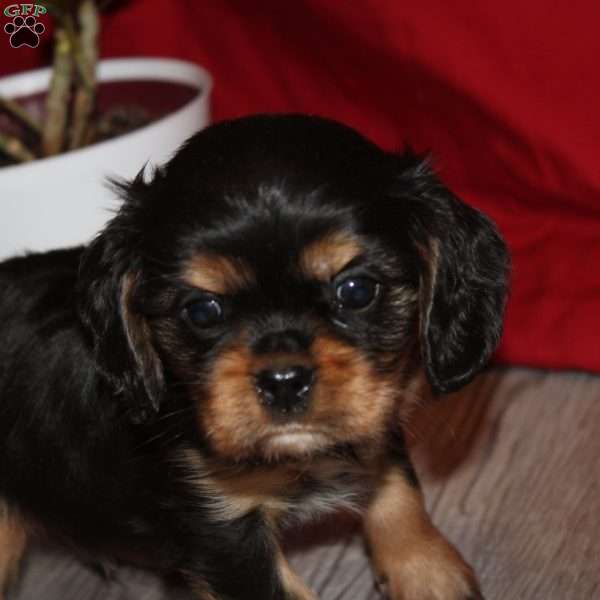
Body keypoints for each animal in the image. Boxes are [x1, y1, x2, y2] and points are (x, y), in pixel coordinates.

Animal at [0, 115, 506, 596]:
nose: (284, 381)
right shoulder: (222, 531)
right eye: (202, 310)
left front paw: (429, 571)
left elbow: (398, 483)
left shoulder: (375, 408)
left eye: (357, 290)